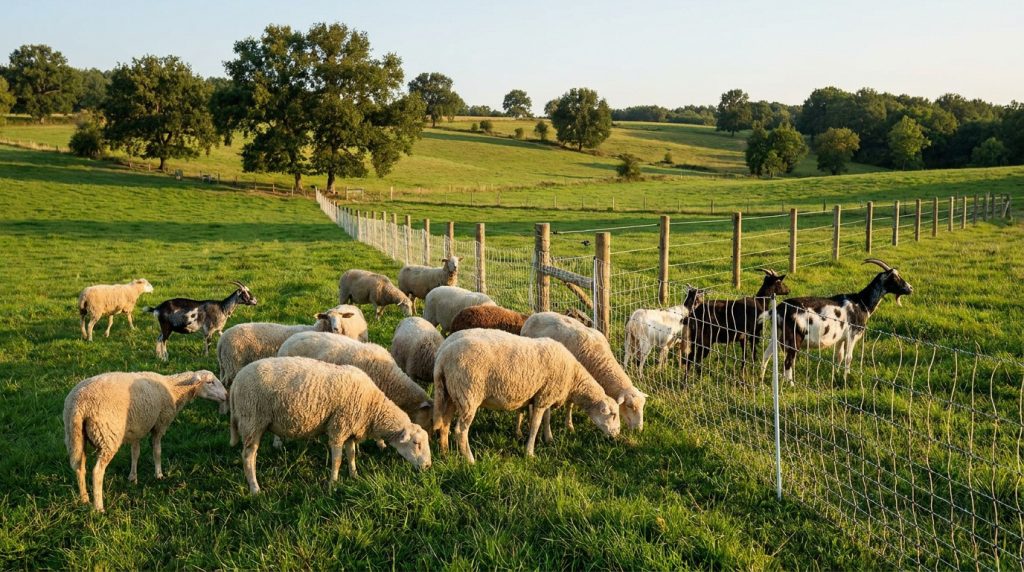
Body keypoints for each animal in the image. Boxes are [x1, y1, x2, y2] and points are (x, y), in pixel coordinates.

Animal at [63, 369, 226, 512]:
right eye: (210, 382)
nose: (226, 394)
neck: (172, 388)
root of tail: (79, 405)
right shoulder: (160, 424)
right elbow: (157, 451)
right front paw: (159, 474)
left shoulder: (136, 428)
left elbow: (135, 453)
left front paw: (133, 477)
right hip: (108, 436)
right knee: (97, 472)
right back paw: (99, 507)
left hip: (74, 437)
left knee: (79, 468)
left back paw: (84, 499)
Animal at [214, 305, 365, 415]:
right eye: (327, 317)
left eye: (341, 317)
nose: (336, 328)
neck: (316, 329)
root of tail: (221, 341)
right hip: (233, 363)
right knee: (227, 385)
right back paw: (225, 411)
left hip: (226, 365)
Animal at [229, 356, 431, 493]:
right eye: (416, 443)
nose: (428, 466)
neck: (372, 406)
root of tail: (235, 382)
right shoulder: (338, 427)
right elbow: (337, 459)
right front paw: (333, 483)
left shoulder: (351, 428)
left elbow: (351, 454)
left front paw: (354, 475)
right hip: (252, 420)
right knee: (248, 457)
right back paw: (255, 489)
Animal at [432, 328, 621, 463]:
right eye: (612, 414)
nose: (617, 434)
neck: (573, 376)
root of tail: (442, 356)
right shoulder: (543, 398)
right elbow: (536, 424)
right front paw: (529, 452)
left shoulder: (545, 394)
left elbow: (546, 418)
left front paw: (548, 438)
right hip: (469, 394)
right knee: (460, 430)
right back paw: (470, 460)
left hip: (451, 394)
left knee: (445, 424)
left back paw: (445, 453)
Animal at [761, 258, 913, 384]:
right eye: (895, 277)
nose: (910, 288)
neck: (861, 303)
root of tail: (778, 309)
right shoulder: (852, 335)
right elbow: (848, 357)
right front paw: (846, 378)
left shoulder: (841, 338)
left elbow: (839, 356)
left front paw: (836, 375)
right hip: (794, 337)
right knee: (788, 361)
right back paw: (791, 385)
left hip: (776, 334)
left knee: (766, 355)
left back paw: (761, 379)